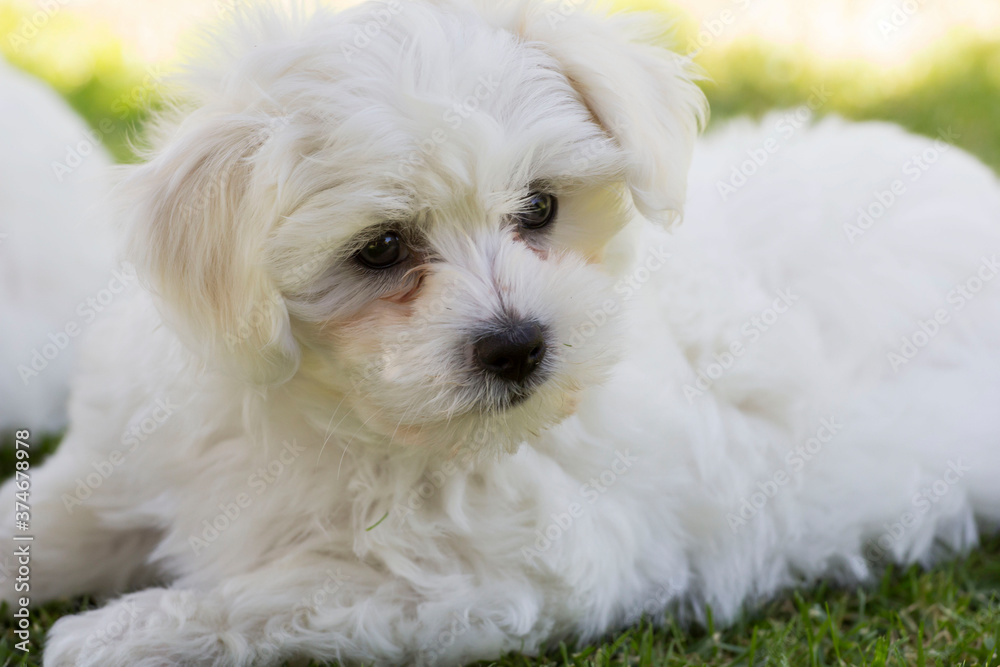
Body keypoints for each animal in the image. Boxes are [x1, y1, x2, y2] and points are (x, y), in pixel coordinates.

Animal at [1, 1, 1000, 667]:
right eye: (381, 247)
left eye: (541, 207)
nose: (519, 346)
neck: (330, 413)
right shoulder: (134, 455)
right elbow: (42, 516)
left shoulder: (470, 585)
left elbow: (269, 597)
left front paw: (108, 632)